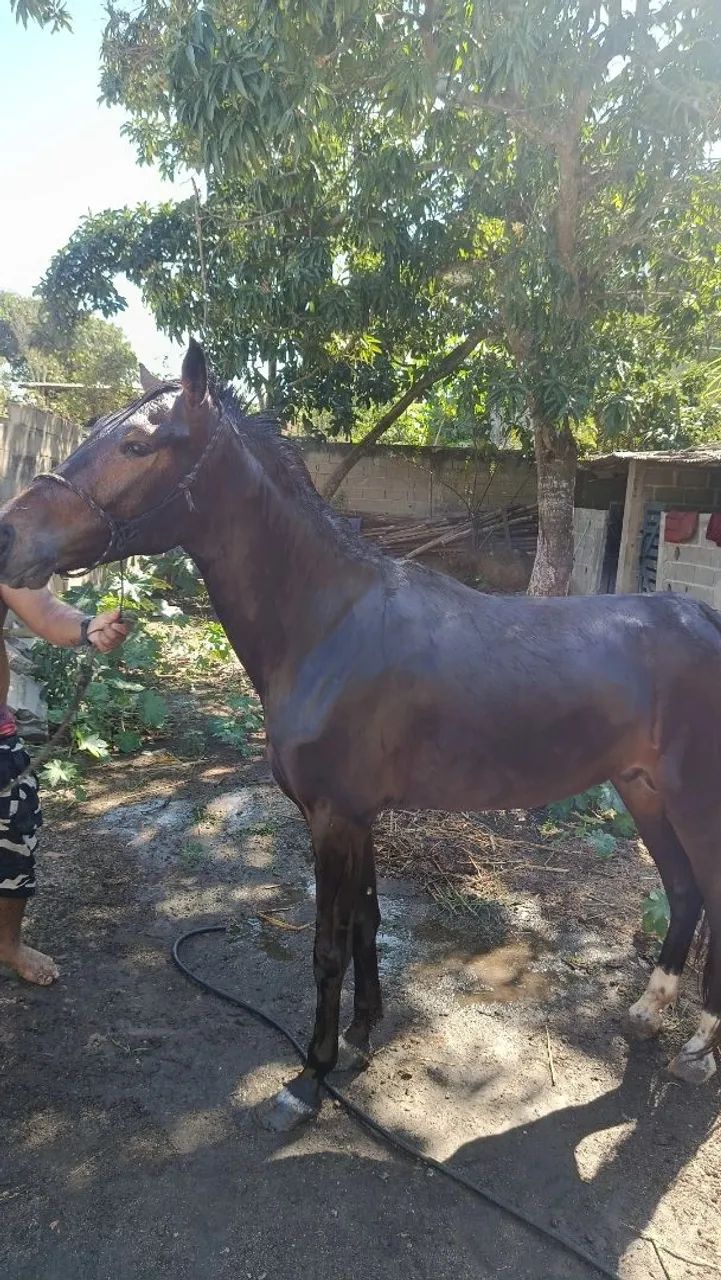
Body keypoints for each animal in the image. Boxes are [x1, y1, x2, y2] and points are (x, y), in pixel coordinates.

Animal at [0, 339, 718, 1129]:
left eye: (135, 444)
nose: (7, 536)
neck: (327, 624)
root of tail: (706, 620)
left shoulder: (333, 818)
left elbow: (329, 947)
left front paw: (310, 1076)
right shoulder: (359, 817)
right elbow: (369, 924)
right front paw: (362, 1034)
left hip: (693, 802)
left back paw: (697, 1051)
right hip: (642, 791)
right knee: (685, 894)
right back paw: (646, 1015)